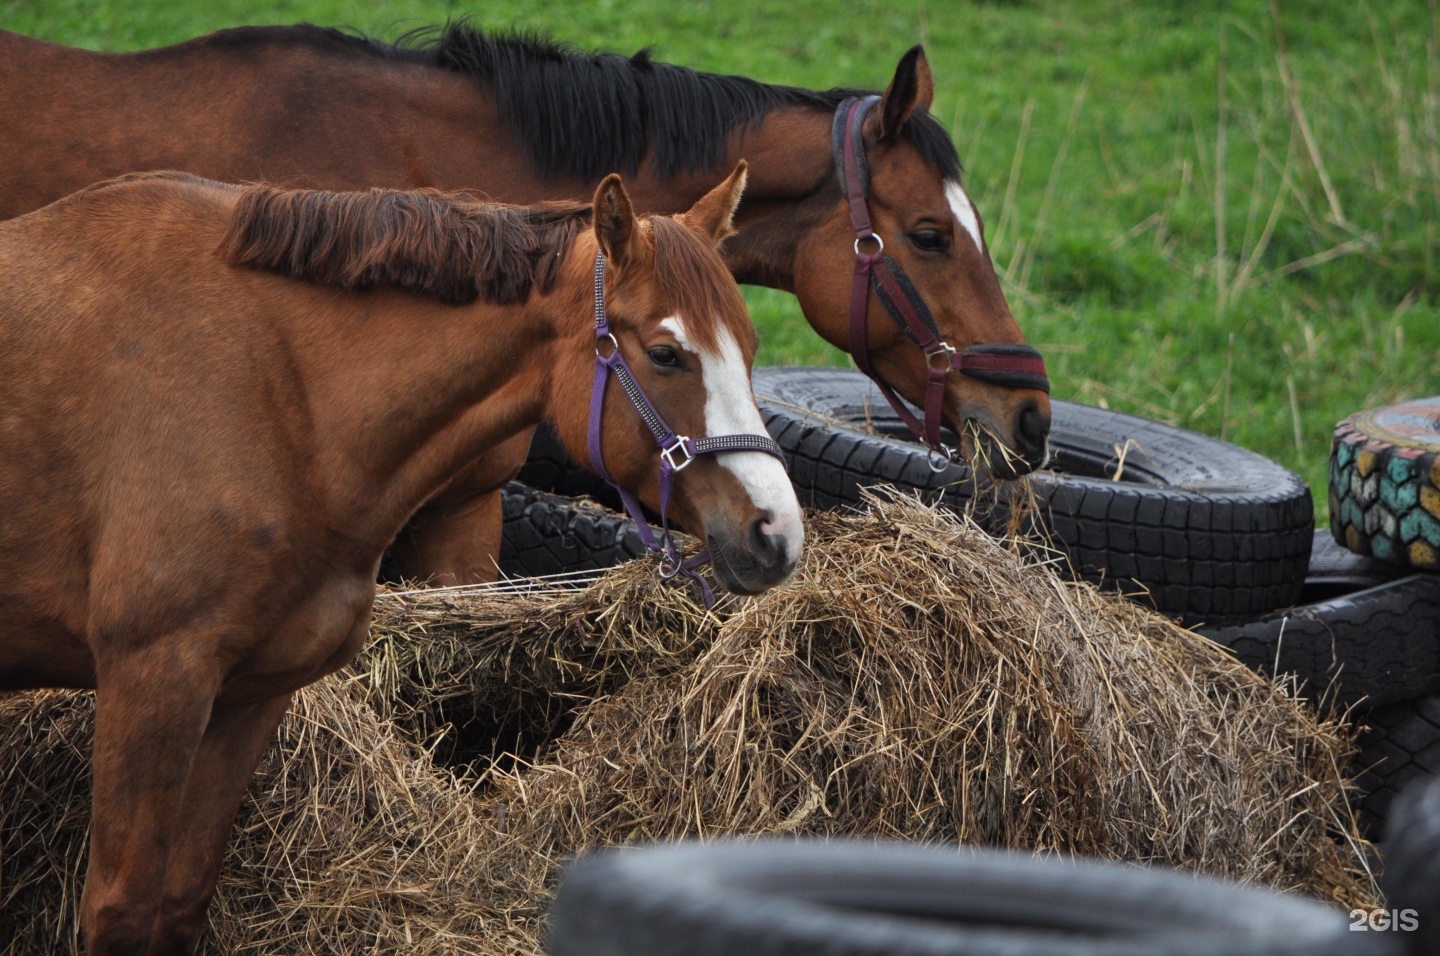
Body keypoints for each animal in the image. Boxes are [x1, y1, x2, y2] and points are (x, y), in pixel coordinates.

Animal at [0, 166, 800, 956]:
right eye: (666, 354)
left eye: (752, 347)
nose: (778, 534)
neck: (275, 395)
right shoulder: (155, 681)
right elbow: (121, 910)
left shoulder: (248, 696)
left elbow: (177, 902)